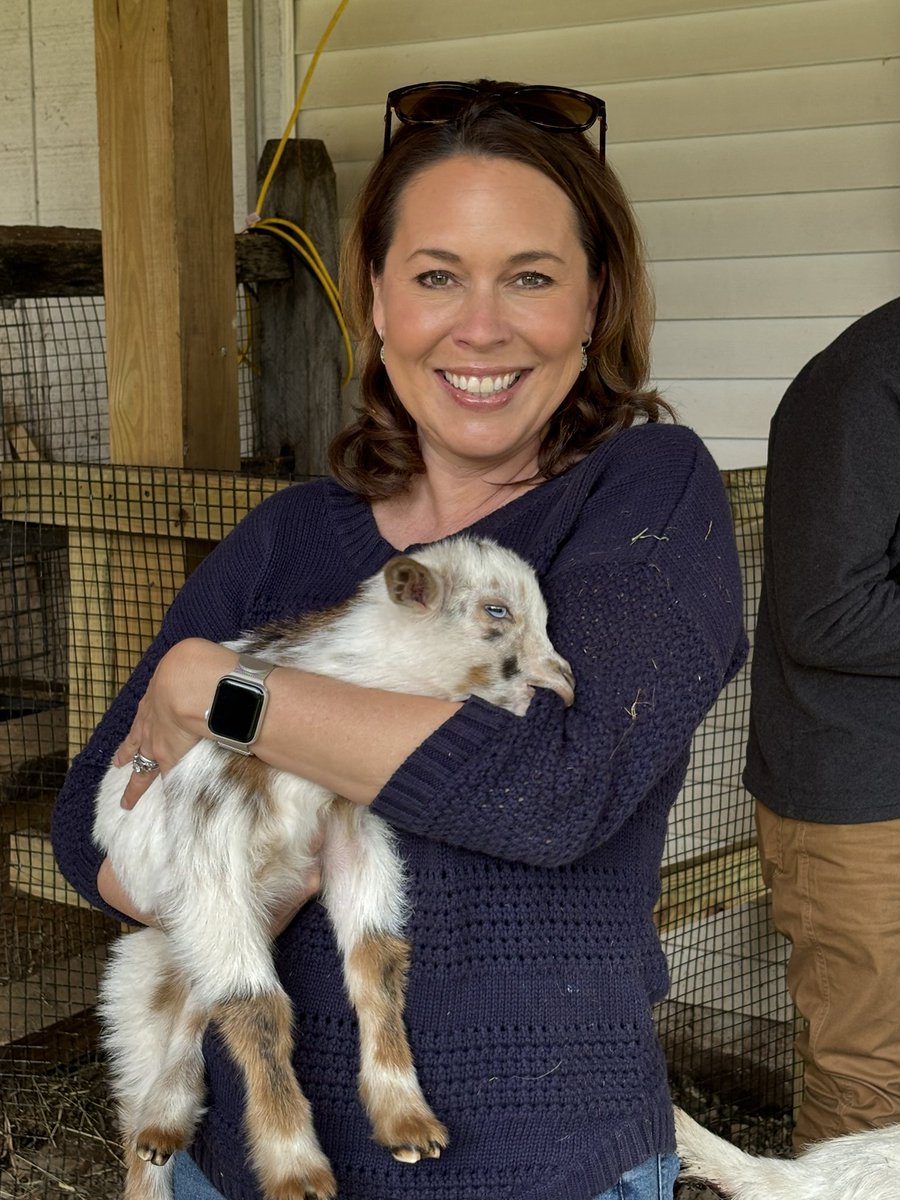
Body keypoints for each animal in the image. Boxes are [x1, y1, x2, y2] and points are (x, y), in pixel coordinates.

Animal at [93, 540, 578, 1200]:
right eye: (496, 609)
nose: (565, 683)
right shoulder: (210, 851)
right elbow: (259, 1008)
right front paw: (295, 1166)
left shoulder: (349, 833)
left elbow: (375, 958)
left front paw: (405, 1118)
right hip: (137, 989)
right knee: (162, 1075)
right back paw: (154, 1132)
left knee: (201, 1005)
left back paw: (166, 1119)